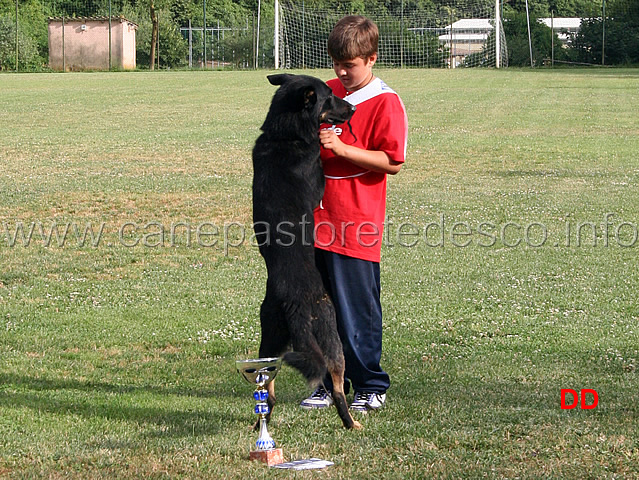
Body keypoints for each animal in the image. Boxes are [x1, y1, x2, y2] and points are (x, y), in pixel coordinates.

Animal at [251, 73, 360, 430]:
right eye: (330, 98)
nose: (353, 108)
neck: (284, 135)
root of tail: (294, 304)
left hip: (270, 339)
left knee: (267, 382)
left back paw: (261, 418)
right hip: (330, 333)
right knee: (337, 385)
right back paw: (352, 424)